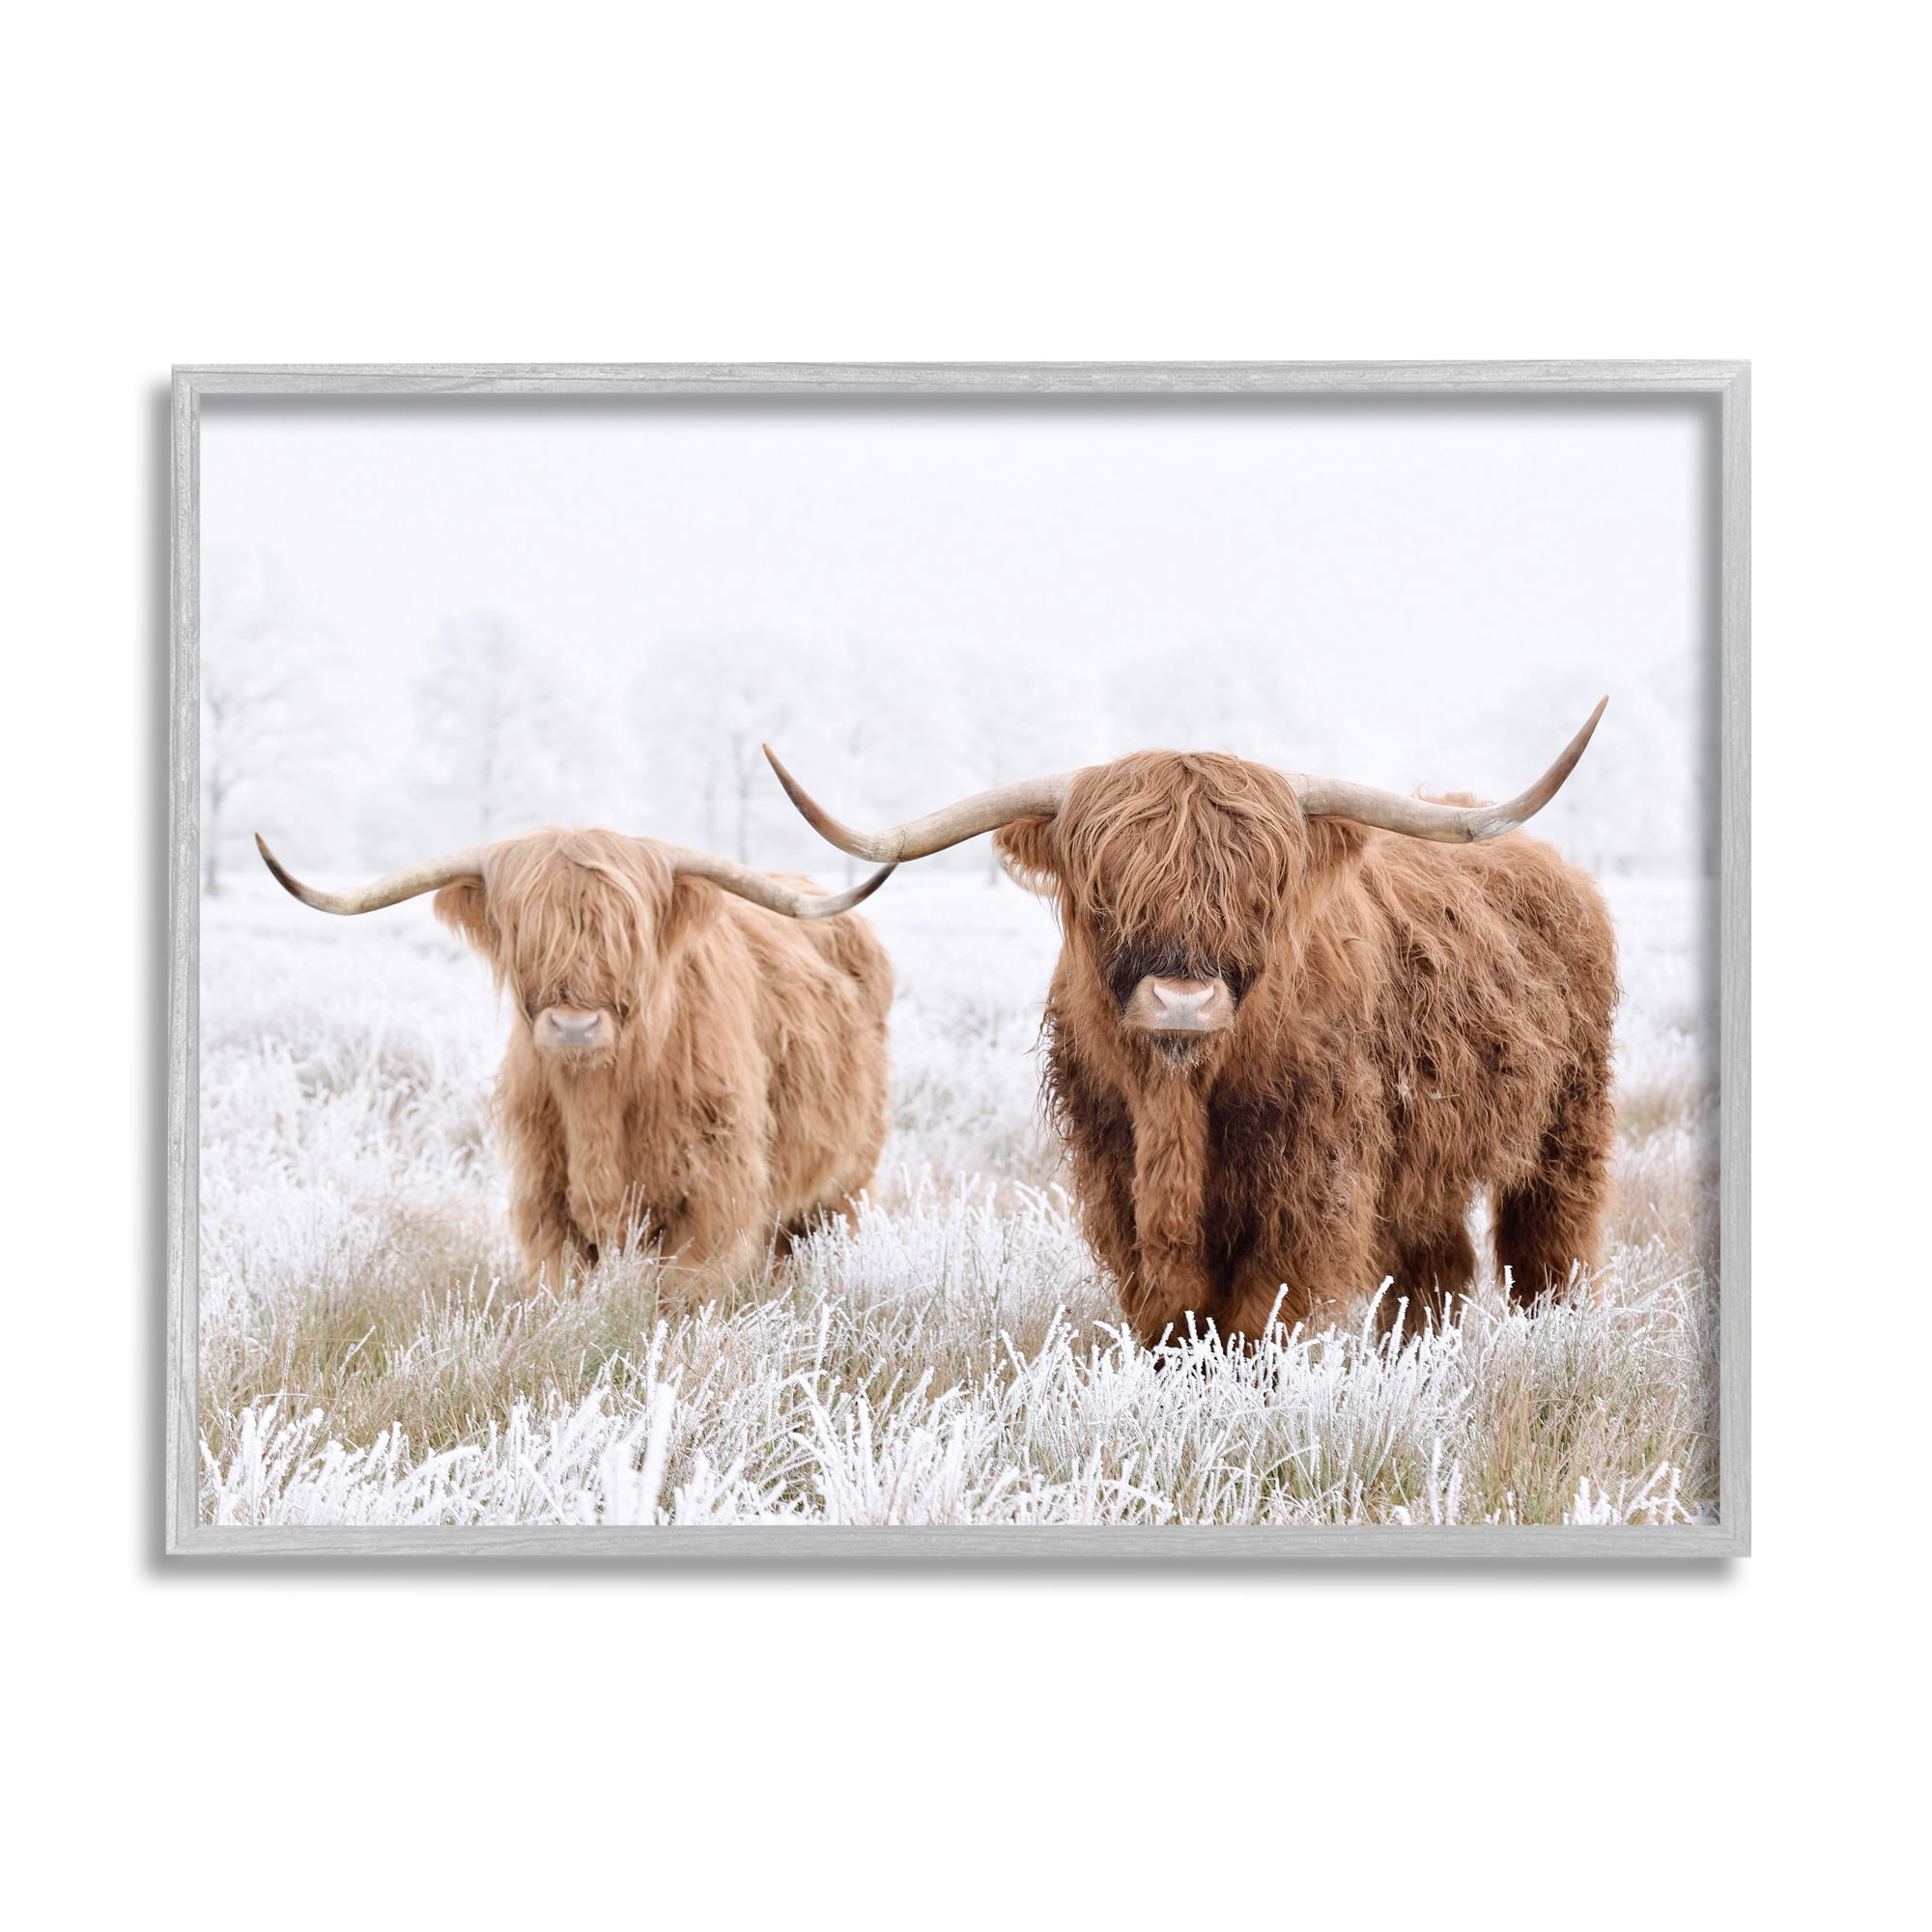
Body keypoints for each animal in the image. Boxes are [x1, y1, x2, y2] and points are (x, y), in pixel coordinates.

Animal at [257, 827, 897, 1291]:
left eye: (628, 933)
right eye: (523, 931)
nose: (573, 1025)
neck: (599, 1104)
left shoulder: (713, 1201)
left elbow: (680, 1298)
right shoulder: (544, 1201)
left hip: (845, 1183)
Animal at [763, 703, 1616, 1344]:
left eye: (1260, 894)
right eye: (1104, 894)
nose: (1182, 1002)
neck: (1179, 1103)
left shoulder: (1310, 1187)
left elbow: (1258, 1317)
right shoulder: (1117, 1178)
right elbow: (1172, 1317)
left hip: (1568, 1123)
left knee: (1548, 1246)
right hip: (1428, 1162)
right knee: (1436, 1268)